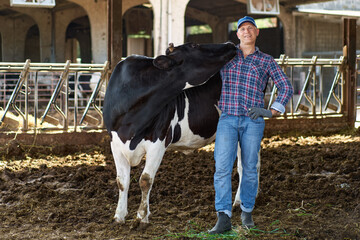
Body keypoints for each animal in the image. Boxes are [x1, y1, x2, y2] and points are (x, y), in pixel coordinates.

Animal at [102, 41, 258, 225]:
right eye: (194, 45)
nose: (229, 43)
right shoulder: (115, 143)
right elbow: (122, 181)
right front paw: (119, 215)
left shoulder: (158, 141)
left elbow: (145, 180)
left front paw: (142, 216)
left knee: (246, 166)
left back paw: (241, 201)